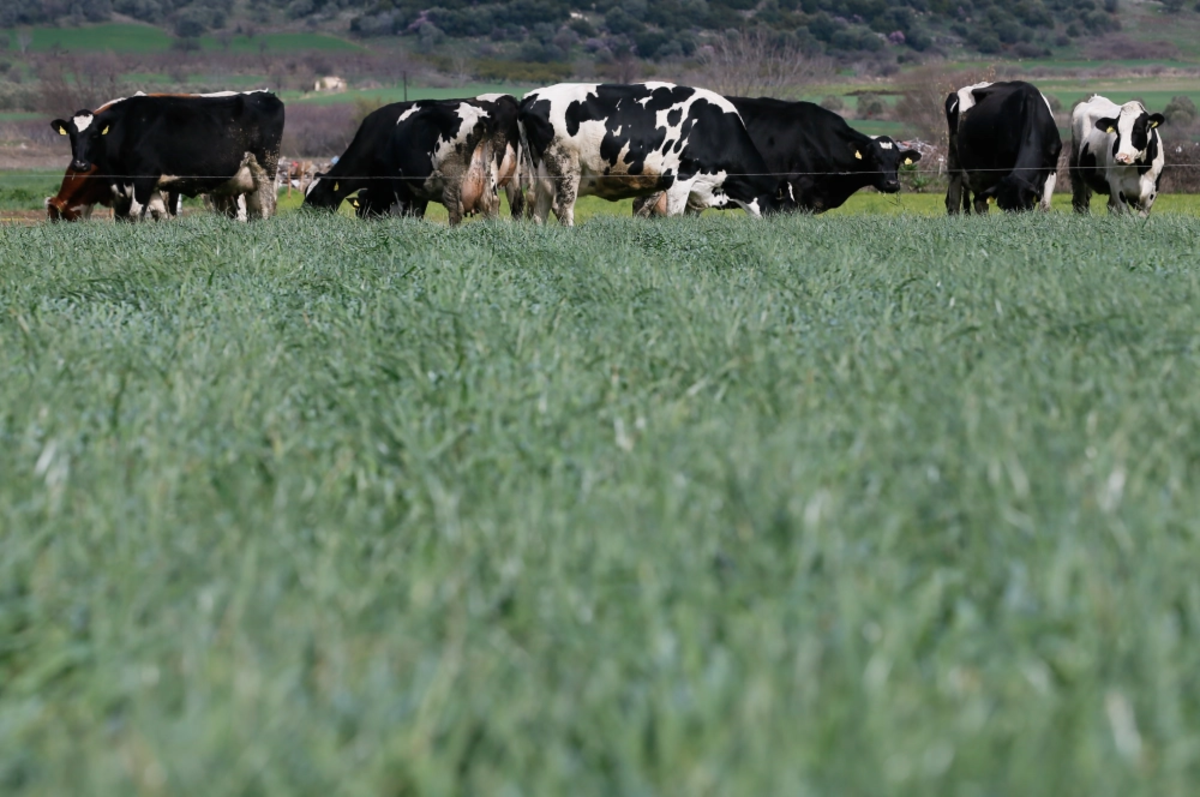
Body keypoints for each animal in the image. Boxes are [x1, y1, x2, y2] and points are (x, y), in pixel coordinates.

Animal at [50, 90, 284, 220]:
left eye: (95, 135)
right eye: (71, 135)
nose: (80, 164)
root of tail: (265, 96)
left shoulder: (143, 178)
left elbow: (135, 214)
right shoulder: (145, 185)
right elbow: (159, 215)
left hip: (264, 169)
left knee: (267, 206)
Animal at [300, 94, 520, 222]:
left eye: (317, 197)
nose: (303, 216)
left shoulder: (398, 181)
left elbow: (406, 212)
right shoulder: (419, 189)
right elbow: (417, 213)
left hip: (452, 176)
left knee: (455, 208)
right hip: (495, 175)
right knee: (496, 204)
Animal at [513, 82, 787, 225]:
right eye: (784, 205)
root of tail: (531, 96)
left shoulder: (674, 184)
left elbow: (645, 209)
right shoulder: (681, 178)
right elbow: (674, 216)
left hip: (542, 172)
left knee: (539, 209)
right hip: (567, 167)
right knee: (562, 206)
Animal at [945, 80, 1060, 214]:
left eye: (1025, 206)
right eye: (1003, 206)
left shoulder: (1051, 167)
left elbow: (1044, 204)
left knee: (979, 202)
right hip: (956, 158)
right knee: (955, 197)